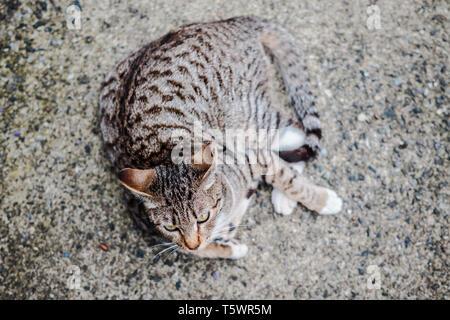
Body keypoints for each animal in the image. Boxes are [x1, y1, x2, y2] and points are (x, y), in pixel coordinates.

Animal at [100, 15, 342, 260]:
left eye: (203, 217)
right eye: (171, 227)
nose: (193, 243)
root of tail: (233, 21)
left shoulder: (254, 157)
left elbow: (288, 179)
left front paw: (322, 200)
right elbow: (202, 250)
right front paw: (227, 246)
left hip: (249, 123)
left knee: (300, 135)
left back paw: (285, 196)